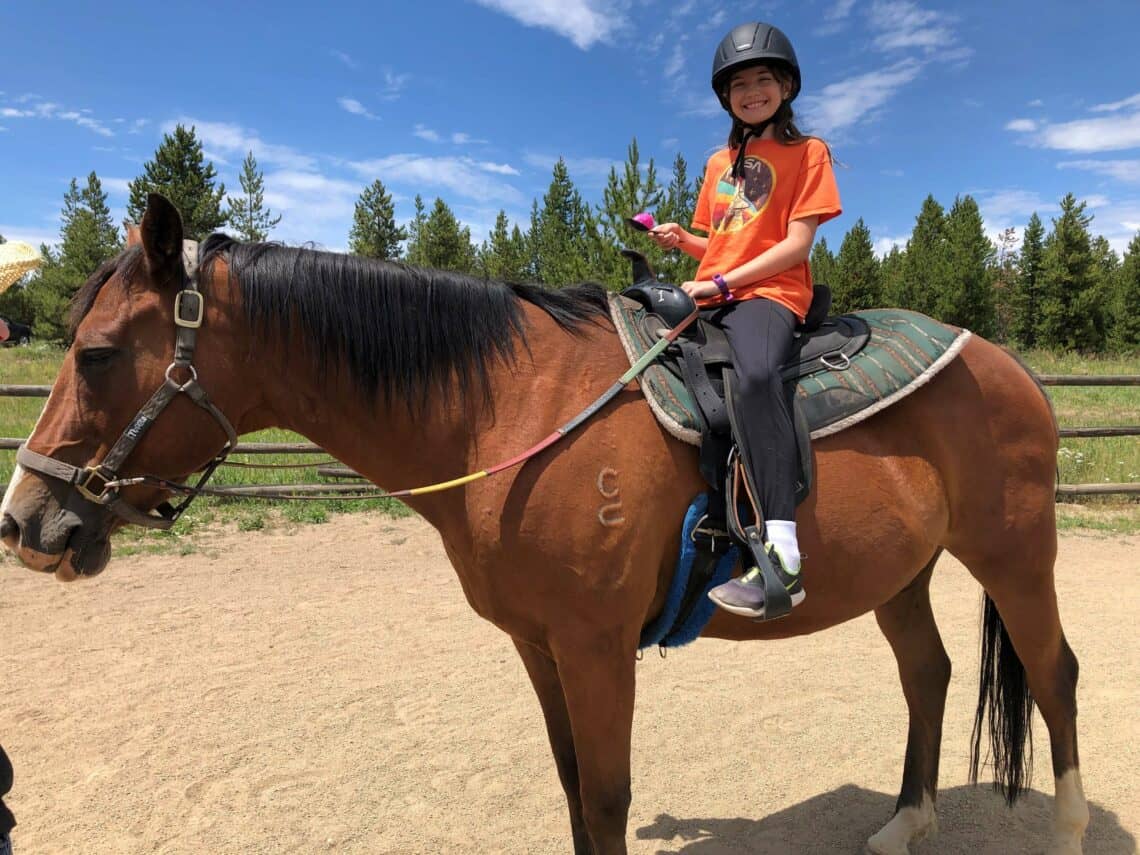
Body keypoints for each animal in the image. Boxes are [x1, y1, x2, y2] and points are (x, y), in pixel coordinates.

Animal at [0, 196, 1085, 855]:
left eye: (98, 354)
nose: (25, 521)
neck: (510, 407)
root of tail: (1010, 367)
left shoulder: (597, 646)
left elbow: (606, 796)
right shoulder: (538, 645)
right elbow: (570, 788)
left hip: (1014, 554)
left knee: (1055, 674)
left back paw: (1067, 827)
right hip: (903, 571)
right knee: (929, 674)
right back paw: (908, 822)